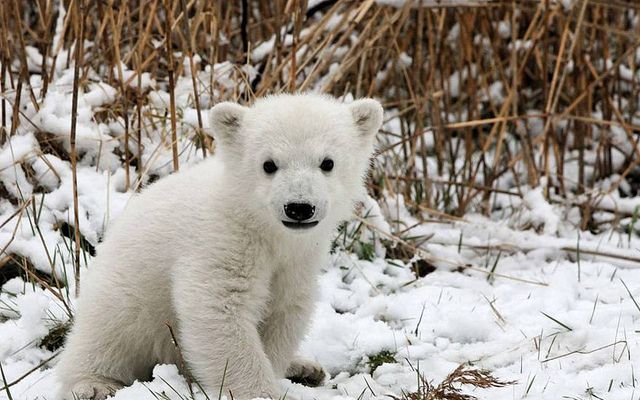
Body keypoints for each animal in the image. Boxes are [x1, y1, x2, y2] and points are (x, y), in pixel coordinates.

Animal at [55, 93, 383, 399]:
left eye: (327, 162)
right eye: (268, 164)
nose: (299, 207)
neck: (261, 225)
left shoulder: (298, 259)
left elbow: (284, 310)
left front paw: (281, 369)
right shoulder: (221, 242)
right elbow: (218, 309)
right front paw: (261, 392)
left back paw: (305, 367)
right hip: (124, 298)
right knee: (105, 337)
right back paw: (94, 384)